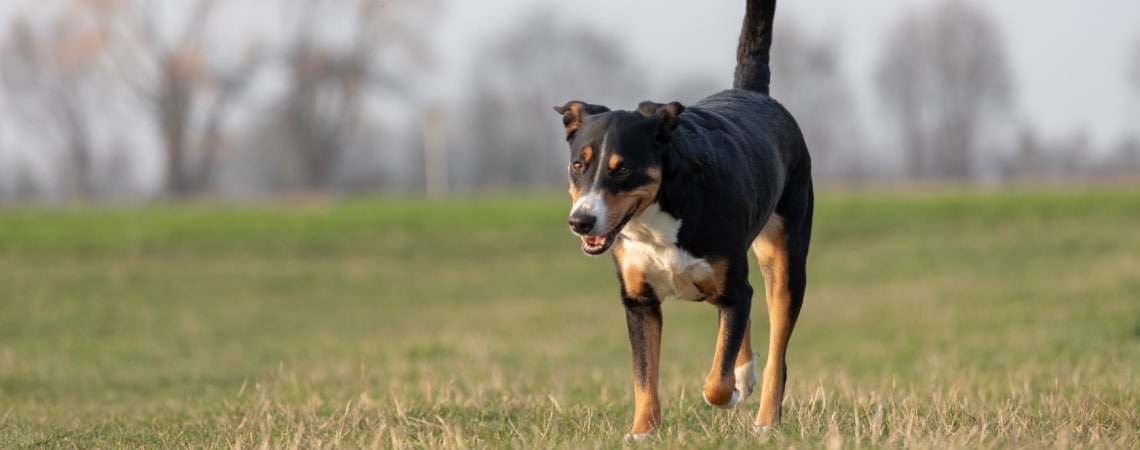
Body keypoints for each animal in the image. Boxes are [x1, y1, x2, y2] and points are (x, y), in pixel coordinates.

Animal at [551, 0, 811, 439]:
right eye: (578, 165)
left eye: (624, 169)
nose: (581, 221)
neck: (656, 221)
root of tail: (751, 93)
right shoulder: (638, 299)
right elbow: (644, 375)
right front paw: (642, 431)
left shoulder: (732, 284)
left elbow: (717, 380)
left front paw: (727, 390)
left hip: (785, 261)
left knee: (777, 351)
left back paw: (764, 419)